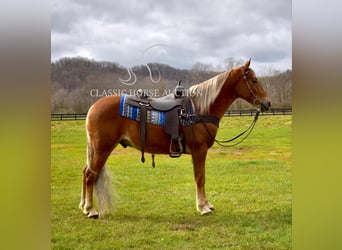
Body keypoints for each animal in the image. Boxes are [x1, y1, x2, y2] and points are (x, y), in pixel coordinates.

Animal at [79, 59, 270, 218]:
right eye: (254, 80)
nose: (267, 103)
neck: (198, 110)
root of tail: (93, 107)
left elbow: (201, 177)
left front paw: (206, 204)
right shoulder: (199, 151)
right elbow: (200, 177)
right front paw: (203, 207)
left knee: (86, 171)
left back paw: (84, 205)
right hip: (102, 149)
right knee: (89, 174)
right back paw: (90, 209)